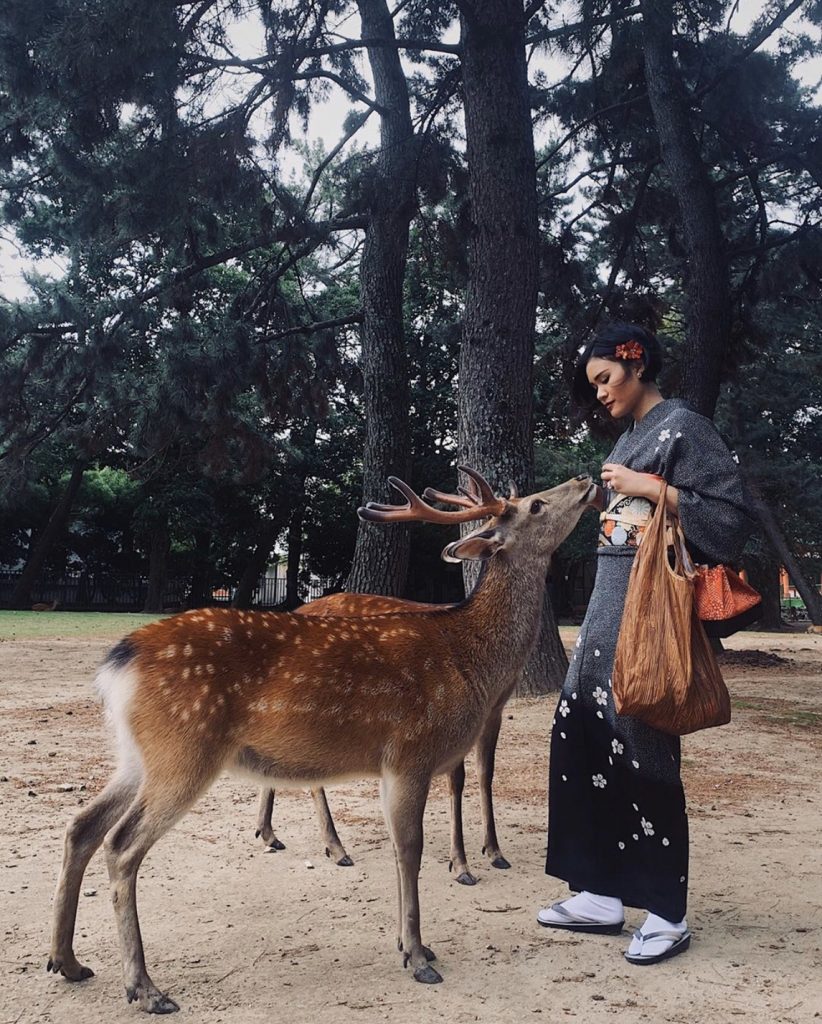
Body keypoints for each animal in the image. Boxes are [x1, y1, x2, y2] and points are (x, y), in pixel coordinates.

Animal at [48, 468, 593, 1011]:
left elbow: (405, 846)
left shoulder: (402, 764)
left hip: (138, 755)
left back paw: (68, 961)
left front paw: (411, 944)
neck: (470, 660)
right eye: (536, 505)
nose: (587, 478)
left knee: (81, 826)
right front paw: (418, 956)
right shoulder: (410, 752)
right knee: (121, 845)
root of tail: (119, 663)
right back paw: (144, 987)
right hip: (184, 750)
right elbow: (410, 849)